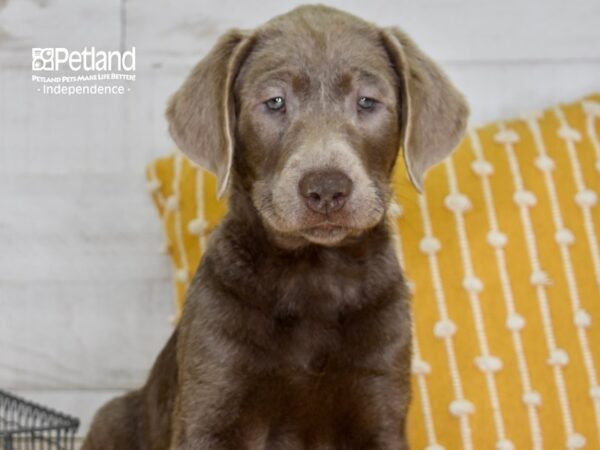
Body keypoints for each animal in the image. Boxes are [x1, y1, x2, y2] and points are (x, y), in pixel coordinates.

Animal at [83, 4, 468, 450]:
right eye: (275, 102)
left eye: (367, 101)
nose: (326, 188)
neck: (312, 275)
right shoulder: (214, 391)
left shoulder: (381, 392)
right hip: (112, 418)